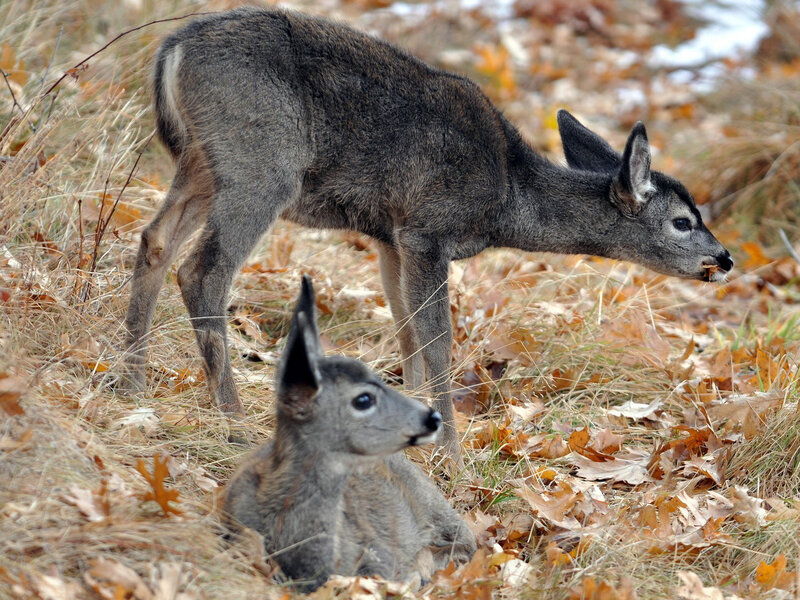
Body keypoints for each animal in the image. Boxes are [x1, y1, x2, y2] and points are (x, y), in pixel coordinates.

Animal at [122, 6, 733, 464]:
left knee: (154, 242)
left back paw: (131, 381)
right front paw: (452, 456)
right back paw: (232, 419)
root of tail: (173, 49)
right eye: (683, 221)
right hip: (261, 163)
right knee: (203, 270)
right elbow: (438, 342)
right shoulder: (429, 229)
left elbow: (406, 331)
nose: (724, 259)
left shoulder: (390, 235)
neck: (507, 196)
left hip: (203, 163)